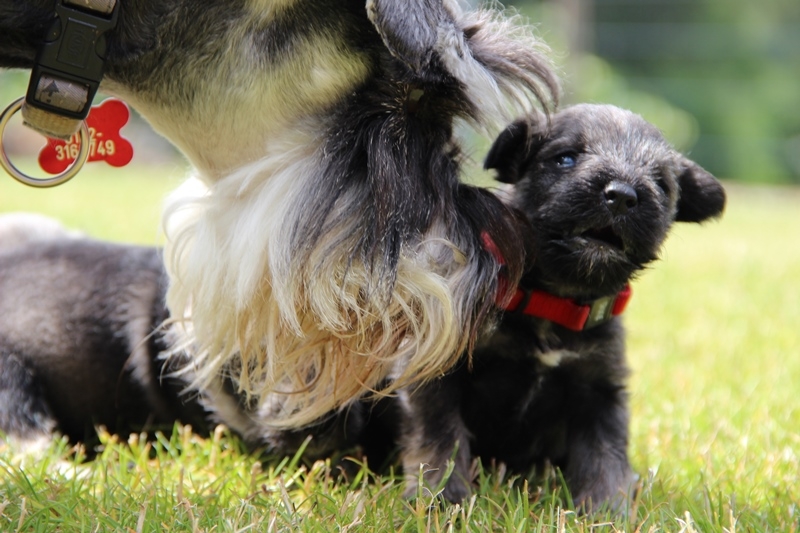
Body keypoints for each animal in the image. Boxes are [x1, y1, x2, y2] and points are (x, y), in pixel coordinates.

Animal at [396, 103, 728, 508]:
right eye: (566, 158)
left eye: (663, 185)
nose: (622, 195)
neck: (554, 302)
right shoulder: (434, 373)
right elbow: (440, 437)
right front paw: (443, 498)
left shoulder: (598, 387)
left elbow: (604, 453)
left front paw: (607, 508)